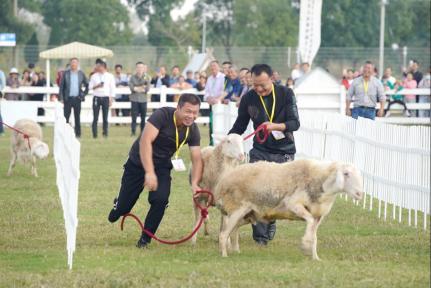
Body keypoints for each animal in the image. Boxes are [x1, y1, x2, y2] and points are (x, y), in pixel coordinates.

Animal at [216, 159, 364, 260]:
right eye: (346, 173)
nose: (360, 194)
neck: (319, 181)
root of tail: (223, 182)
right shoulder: (293, 204)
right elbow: (309, 222)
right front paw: (305, 244)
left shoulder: (318, 215)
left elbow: (314, 235)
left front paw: (315, 257)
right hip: (237, 208)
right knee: (223, 234)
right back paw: (224, 255)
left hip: (249, 214)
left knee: (233, 230)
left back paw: (236, 251)